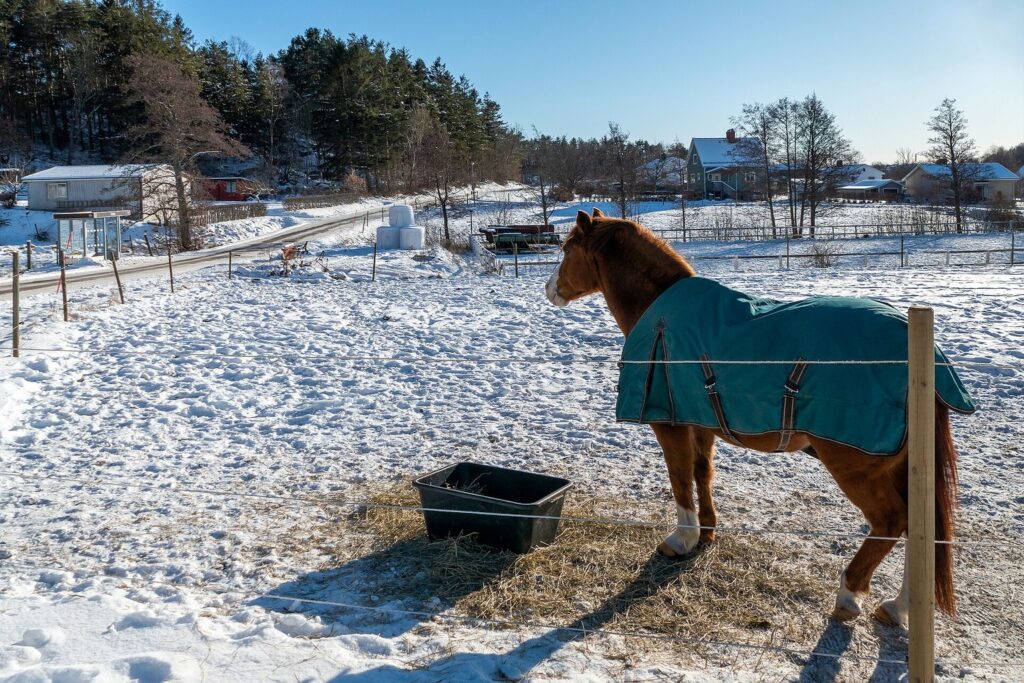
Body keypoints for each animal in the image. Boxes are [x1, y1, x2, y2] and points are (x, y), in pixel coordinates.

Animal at [545, 208, 960, 626]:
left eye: (567, 249)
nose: (550, 289)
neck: (660, 312)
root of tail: (919, 352)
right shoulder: (700, 425)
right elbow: (702, 473)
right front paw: (707, 532)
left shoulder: (671, 425)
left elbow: (679, 478)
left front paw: (681, 539)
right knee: (919, 529)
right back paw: (898, 606)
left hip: (855, 467)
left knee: (891, 522)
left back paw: (849, 593)